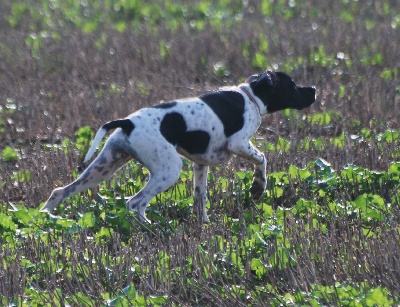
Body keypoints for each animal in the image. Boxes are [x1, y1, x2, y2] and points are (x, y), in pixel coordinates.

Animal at [41, 70, 316, 224]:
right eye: (292, 85)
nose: (313, 89)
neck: (251, 96)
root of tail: (127, 122)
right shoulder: (238, 143)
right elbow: (262, 159)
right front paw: (258, 188)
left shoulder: (201, 165)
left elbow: (200, 197)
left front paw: (203, 224)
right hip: (169, 169)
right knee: (135, 203)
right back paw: (152, 228)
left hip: (104, 166)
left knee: (60, 191)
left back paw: (44, 220)